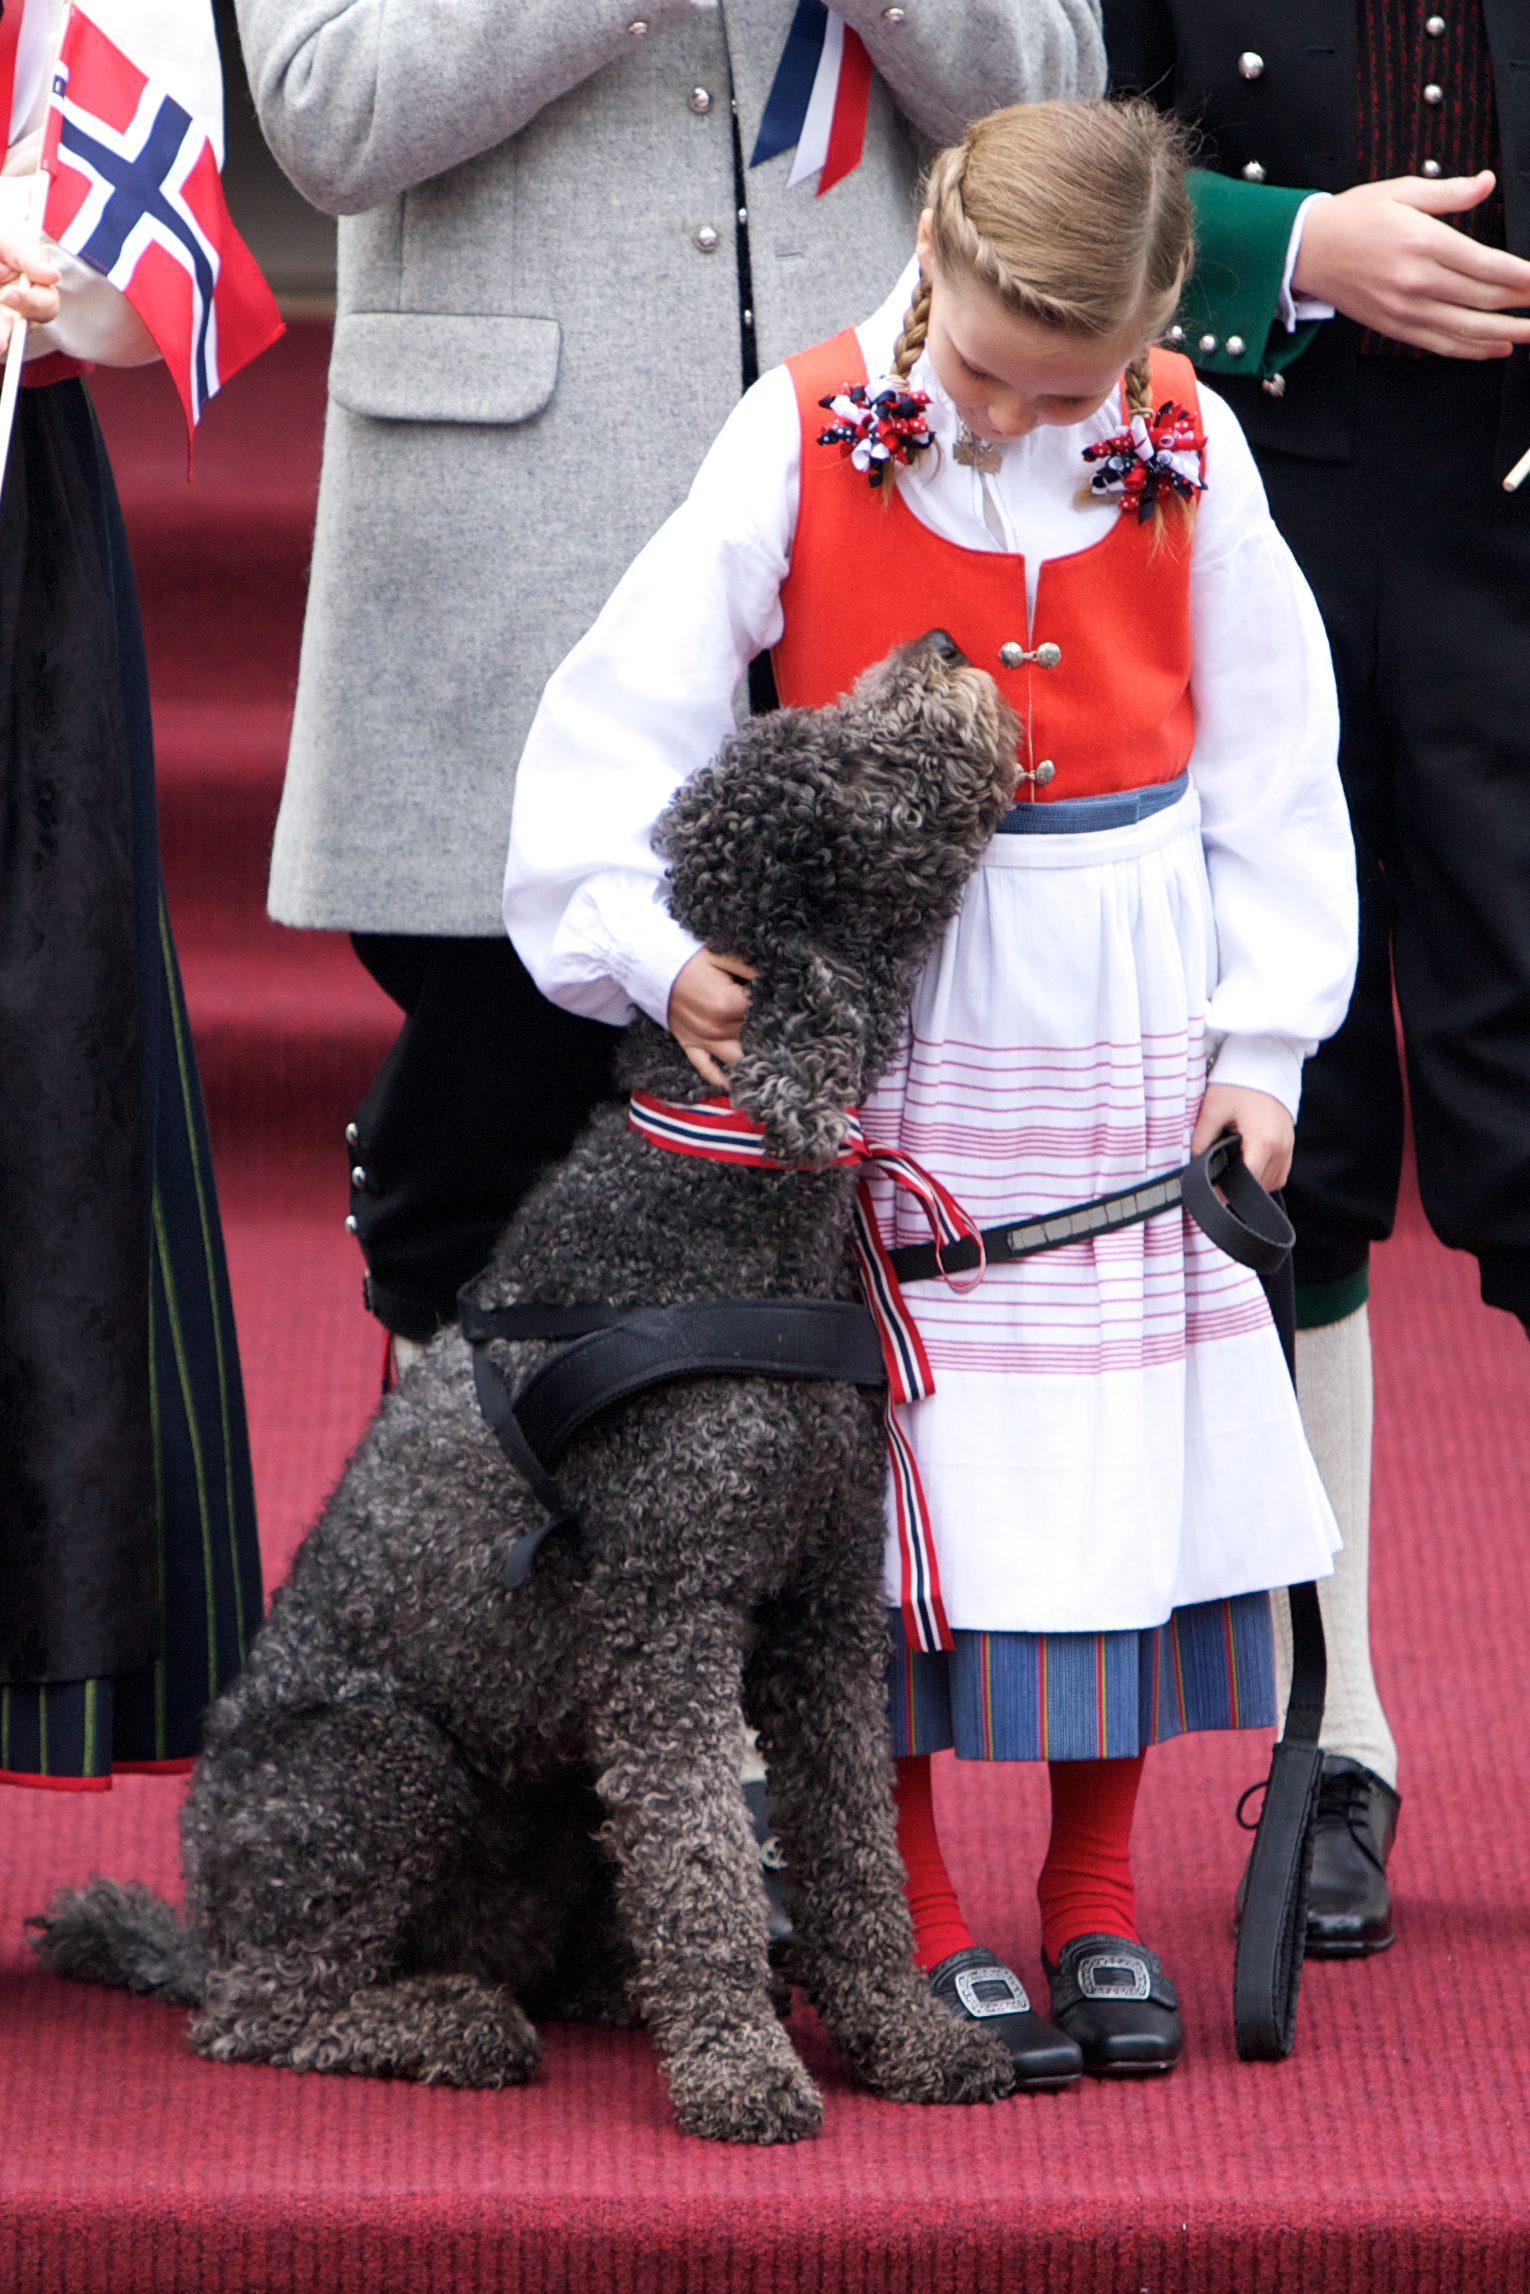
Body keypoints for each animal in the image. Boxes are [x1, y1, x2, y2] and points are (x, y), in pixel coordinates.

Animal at [32, 623, 1018, 2128]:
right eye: (846, 768)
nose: (942, 641)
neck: (715, 1198)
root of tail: (203, 1921)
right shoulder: (671, 1612)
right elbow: (700, 1856)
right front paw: (738, 2066)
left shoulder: (822, 1610)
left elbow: (855, 1845)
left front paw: (902, 2034)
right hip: (380, 1763)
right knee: (265, 2013)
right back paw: (447, 2018)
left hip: (550, 1796)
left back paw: (594, 1983)